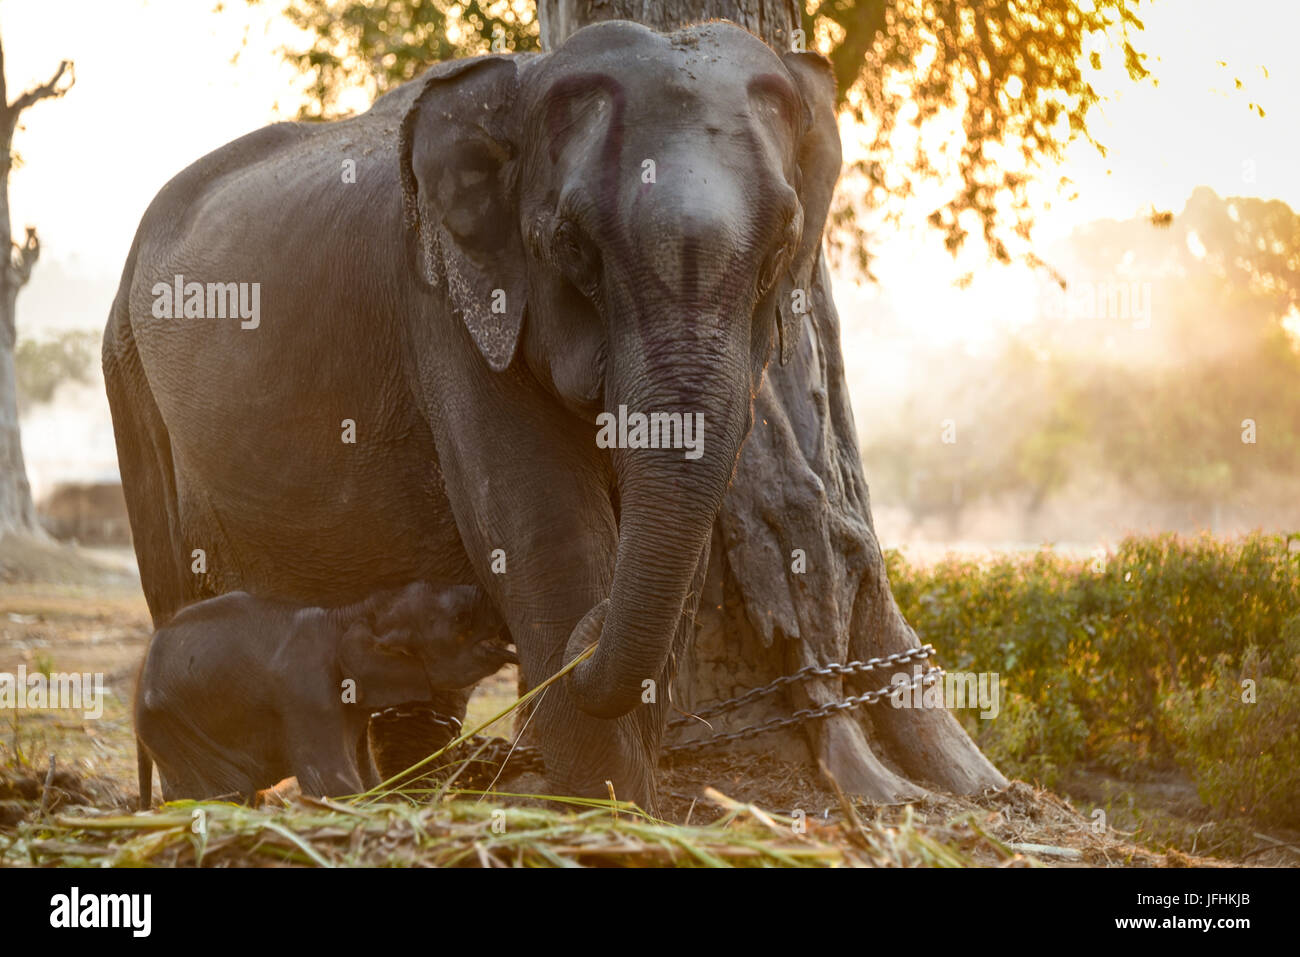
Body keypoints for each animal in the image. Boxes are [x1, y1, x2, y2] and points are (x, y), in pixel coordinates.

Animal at [135, 582, 512, 806]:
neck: (353, 615)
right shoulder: (307, 691)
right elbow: (332, 785)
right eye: (461, 618)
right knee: (225, 794)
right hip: (174, 730)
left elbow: (366, 774)